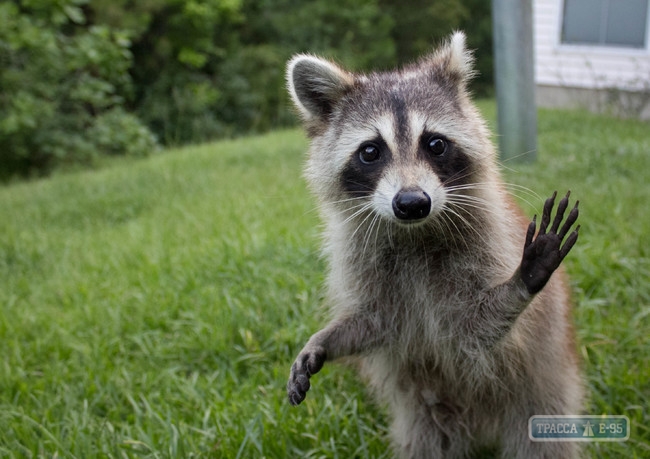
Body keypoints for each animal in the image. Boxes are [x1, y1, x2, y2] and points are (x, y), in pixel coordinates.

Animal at [284, 33, 584, 459]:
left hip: (542, 395)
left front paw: (519, 283)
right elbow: (375, 322)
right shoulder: (365, 262)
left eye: (435, 144)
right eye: (370, 151)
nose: (412, 202)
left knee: (542, 441)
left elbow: (476, 328)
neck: (413, 233)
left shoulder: (486, 246)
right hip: (427, 419)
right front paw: (325, 339)